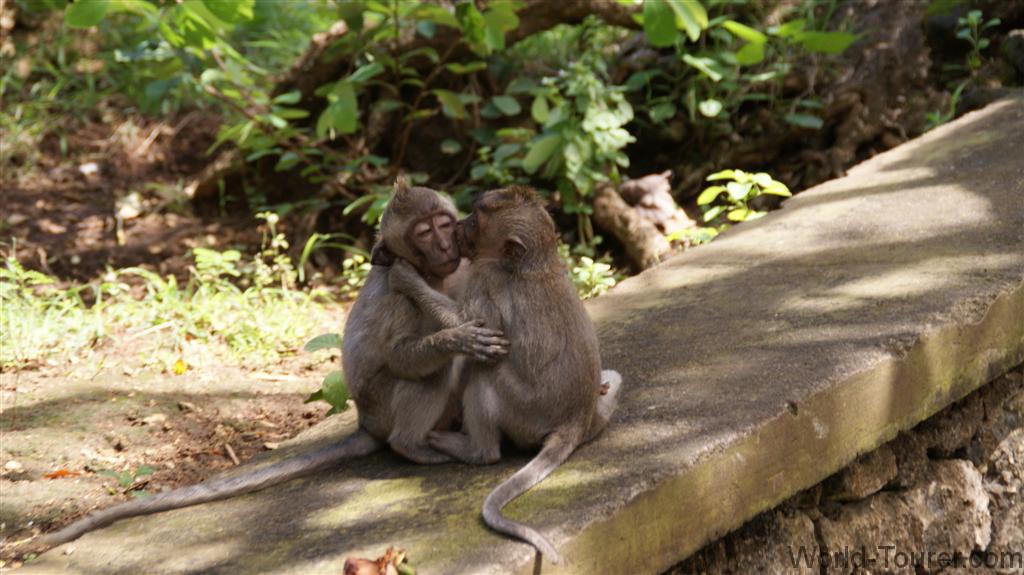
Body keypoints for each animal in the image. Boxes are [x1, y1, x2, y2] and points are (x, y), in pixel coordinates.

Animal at [30, 179, 508, 552]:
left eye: (443, 225)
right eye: (424, 232)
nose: (444, 244)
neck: (434, 272)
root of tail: (365, 422)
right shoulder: (397, 287)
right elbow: (399, 352)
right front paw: (457, 337)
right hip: (382, 405)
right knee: (432, 372)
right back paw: (411, 445)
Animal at [388, 186, 622, 564]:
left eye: (476, 220)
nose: (459, 226)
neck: (533, 261)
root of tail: (574, 423)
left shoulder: (485, 275)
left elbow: (476, 327)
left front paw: (407, 279)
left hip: (525, 413)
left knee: (486, 373)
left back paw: (476, 450)